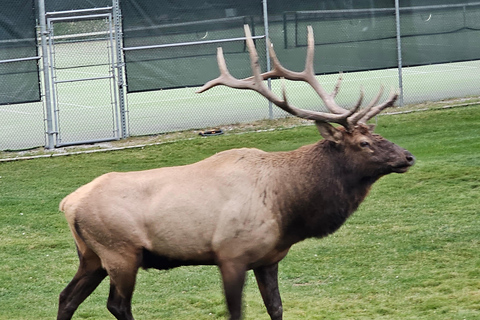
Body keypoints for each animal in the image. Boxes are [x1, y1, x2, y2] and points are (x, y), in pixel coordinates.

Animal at [58, 25, 414, 320]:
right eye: (364, 143)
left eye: (377, 134)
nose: (407, 157)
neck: (288, 208)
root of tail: (68, 204)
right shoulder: (231, 254)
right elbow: (236, 312)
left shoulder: (269, 258)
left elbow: (276, 308)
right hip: (120, 252)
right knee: (116, 305)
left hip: (91, 257)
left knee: (66, 298)